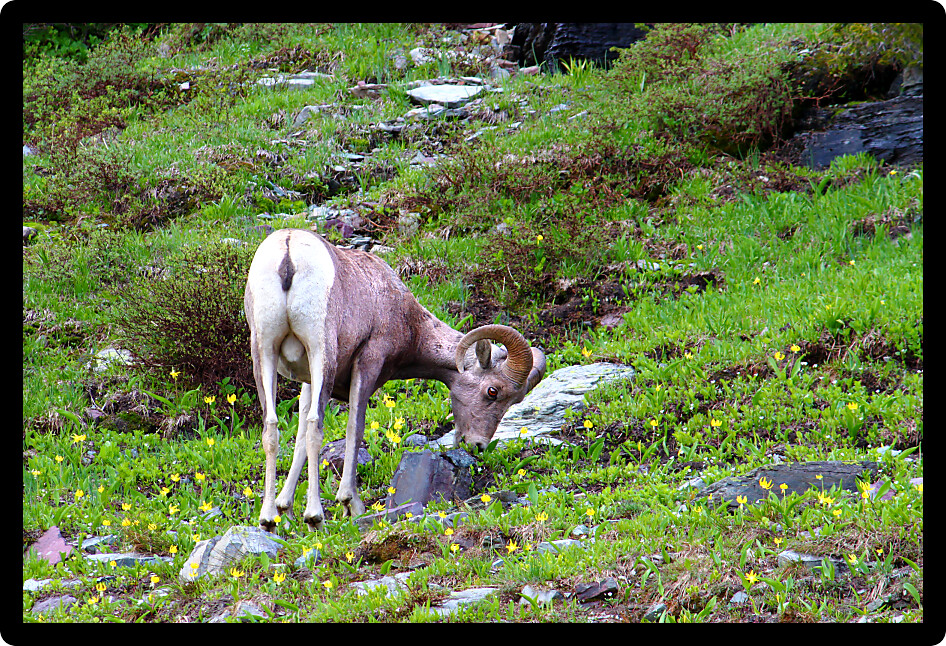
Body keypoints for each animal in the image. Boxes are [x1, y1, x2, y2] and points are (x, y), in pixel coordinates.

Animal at [244, 228, 546, 531]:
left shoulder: (308, 380)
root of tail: (289, 251)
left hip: (264, 352)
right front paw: (351, 504)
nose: (478, 445)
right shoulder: (367, 361)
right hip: (321, 352)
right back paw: (315, 517)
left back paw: (268, 519)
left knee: (272, 427)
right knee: (315, 425)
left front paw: (285, 509)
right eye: (492, 391)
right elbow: (354, 426)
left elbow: (299, 439)